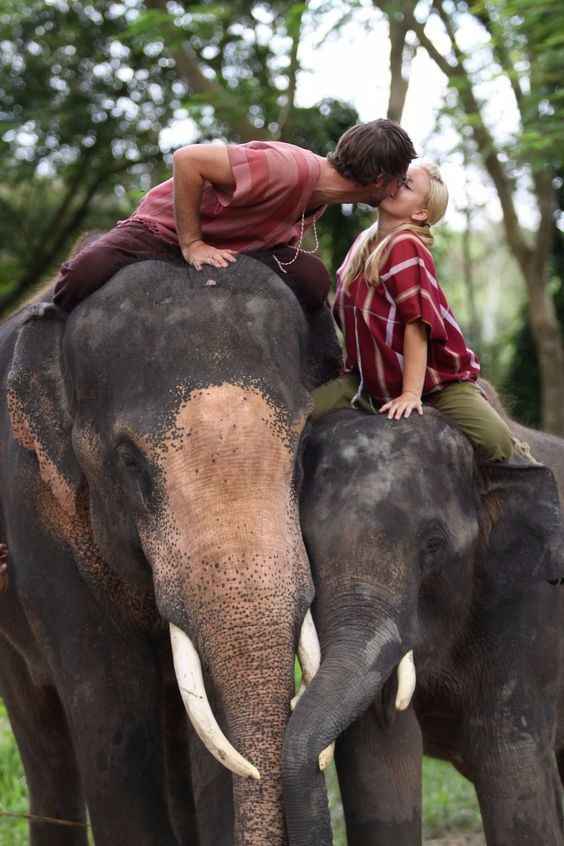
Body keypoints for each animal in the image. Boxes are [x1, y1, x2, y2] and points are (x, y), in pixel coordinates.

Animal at [0, 253, 340, 846]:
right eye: (131, 463)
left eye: (301, 447)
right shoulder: (39, 521)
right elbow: (112, 720)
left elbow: (210, 749)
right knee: (43, 740)